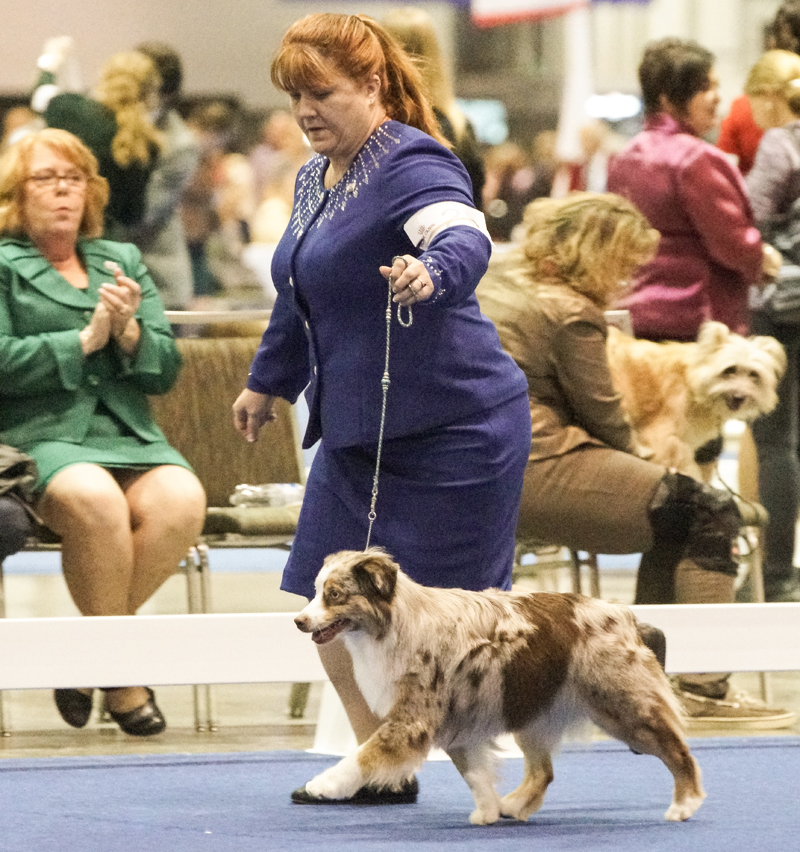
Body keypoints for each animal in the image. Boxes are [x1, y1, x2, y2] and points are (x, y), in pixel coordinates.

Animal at [294, 552, 708, 824]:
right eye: (315, 591)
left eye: (334, 594)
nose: (298, 621)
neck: (394, 623)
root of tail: (626, 615)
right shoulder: (455, 720)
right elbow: (475, 773)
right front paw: (488, 811)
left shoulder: (414, 718)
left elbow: (362, 756)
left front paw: (324, 785)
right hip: (530, 709)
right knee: (543, 772)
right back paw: (514, 806)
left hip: (621, 707)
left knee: (678, 750)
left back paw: (684, 804)